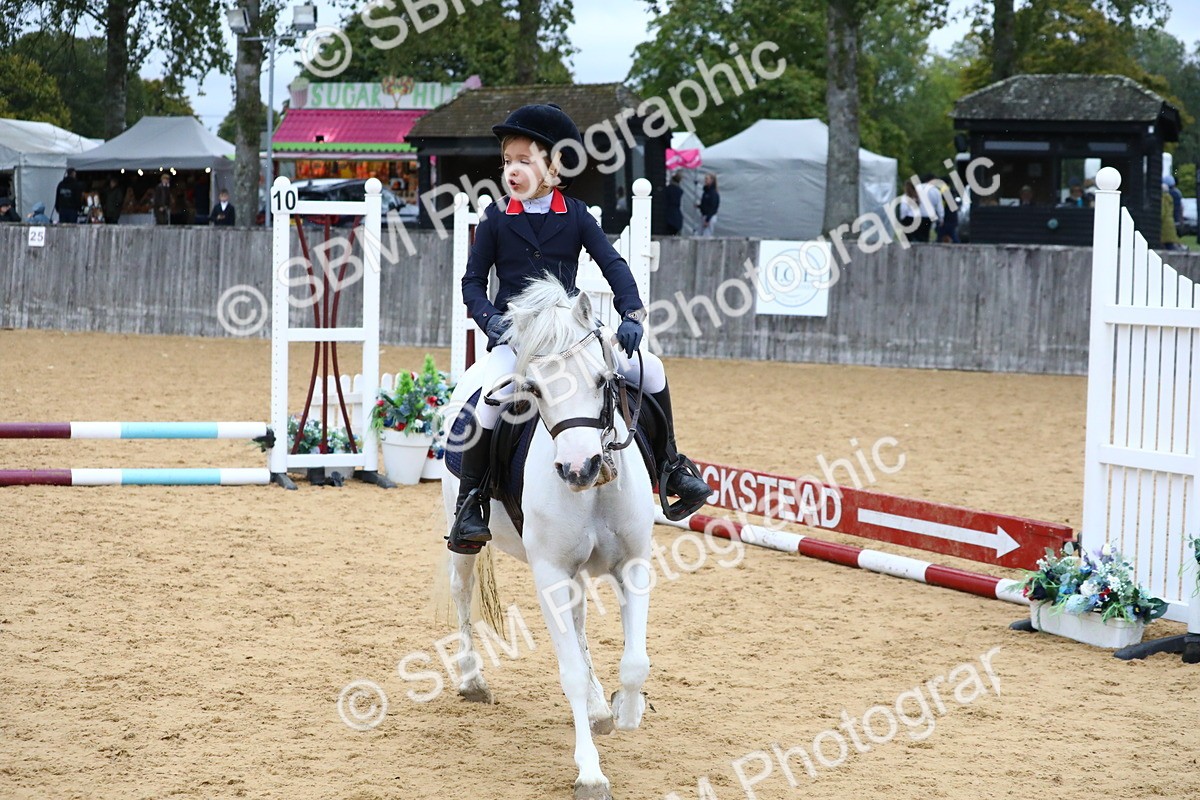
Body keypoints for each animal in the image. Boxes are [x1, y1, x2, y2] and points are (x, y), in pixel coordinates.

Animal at [440, 276, 656, 800]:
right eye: (534, 389)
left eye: (602, 380)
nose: (579, 469)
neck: (594, 492)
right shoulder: (551, 574)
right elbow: (571, 673)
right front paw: (590, 773)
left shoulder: (633, 564)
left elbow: (634, 661)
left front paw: (626, 711)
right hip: (465, 540)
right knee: (461, 591)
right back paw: (472, 681)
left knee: (579, 626)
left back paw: (601, 710)